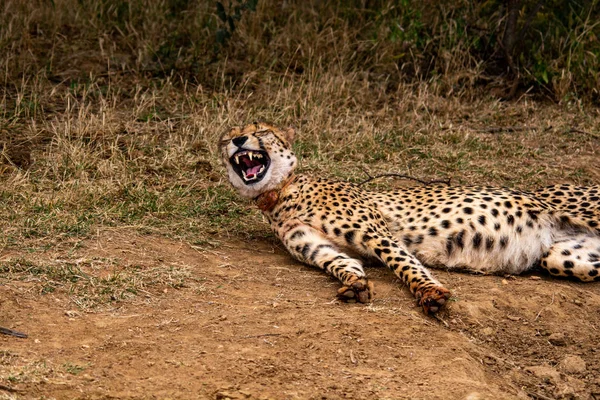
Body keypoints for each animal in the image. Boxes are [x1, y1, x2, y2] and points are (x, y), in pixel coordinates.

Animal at [219, 122, 600, 312]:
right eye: (226, 137)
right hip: (561, 257)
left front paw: (430, 293)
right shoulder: (317, 248)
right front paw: (355, 284)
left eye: (260, 130)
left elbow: (404, 263)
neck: (280, 193)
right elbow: (343, 263)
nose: (238, 140)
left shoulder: (377, 233)